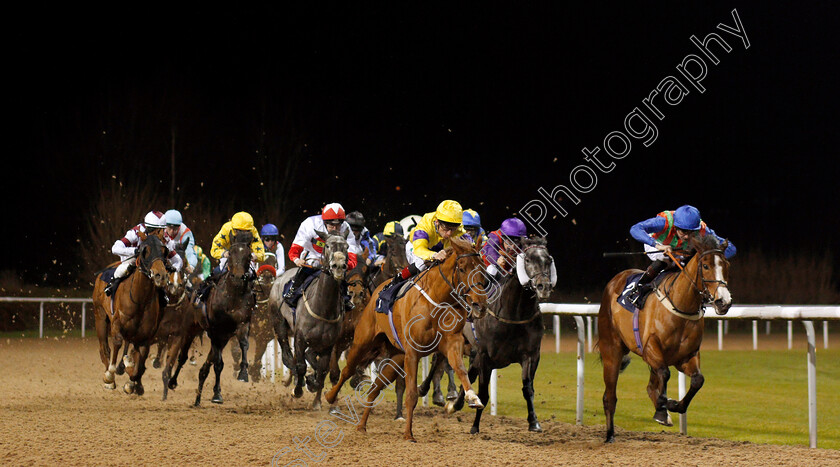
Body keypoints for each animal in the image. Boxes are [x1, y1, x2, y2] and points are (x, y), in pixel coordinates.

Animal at [93, 236, 174, 396]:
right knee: (104, 348)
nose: (160, 275)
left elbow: (139, 363)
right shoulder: (117, 324)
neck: (140, 300)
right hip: (100, 316)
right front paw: (110, 374)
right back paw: (110, 379)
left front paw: (132, 382)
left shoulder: (145, 337)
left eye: (164, 250)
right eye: (144, 251)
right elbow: (117, 342)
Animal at [194, 243, 256, 408]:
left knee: (204, 368)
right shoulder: (216, 331)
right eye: (231, 254)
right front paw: (217, 395)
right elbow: (219, 364)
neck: (232, 295)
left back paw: (198, 398)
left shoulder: (242, 323)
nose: (238, 277)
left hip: (224, 338)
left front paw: (243, 373)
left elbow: (244, 344)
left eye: (249, 255)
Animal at [268, 230, 350, 410]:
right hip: (279, 324)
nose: (338, 266)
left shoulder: (328, 345)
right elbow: (301, 366)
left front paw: (316, 399)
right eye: (328, 246)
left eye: (346, 247)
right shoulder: (300, 338)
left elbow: (322, 370)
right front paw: (298, 390)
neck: (323, 307)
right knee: (288, 356)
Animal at [324, 238, 488, 442]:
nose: (480, 305)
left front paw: (472, 397)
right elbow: (411, 394)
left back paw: (361, 425)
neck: (438, 301)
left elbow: (460, 369)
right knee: (347, 370)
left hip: (395, 357)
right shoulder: (413, 353)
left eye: (482, 268)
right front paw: (408, 433)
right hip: (363, 341)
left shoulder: (451, 343)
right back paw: (330, 398)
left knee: (375, 388)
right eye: (463, 268)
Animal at [596, 236, 728, 444]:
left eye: (726, 265)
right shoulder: (651, 349)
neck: (681, 306)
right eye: (706, 266)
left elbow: (698, 380)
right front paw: (661, 409)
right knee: (610, 396)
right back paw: (609, 435)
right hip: (612, 350)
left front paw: (672, 405)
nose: (724, 302)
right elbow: (665, 374)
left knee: (651, 385)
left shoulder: (685, 356)